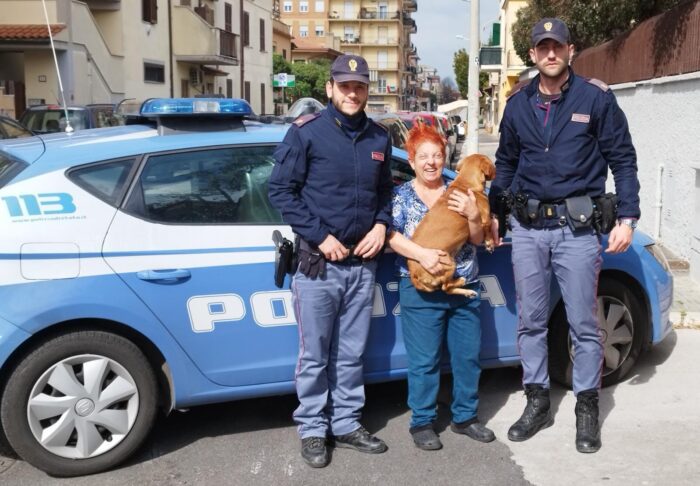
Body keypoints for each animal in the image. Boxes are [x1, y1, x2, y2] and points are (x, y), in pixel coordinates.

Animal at [404, 154, 498, 296]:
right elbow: (489, 228)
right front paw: (490, 243)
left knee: (447, 289)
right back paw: (461, 281)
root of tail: (414, 275)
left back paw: (466, 291)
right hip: (448, 263)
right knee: (446, 287)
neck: (465, 183)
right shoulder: (485, 218)